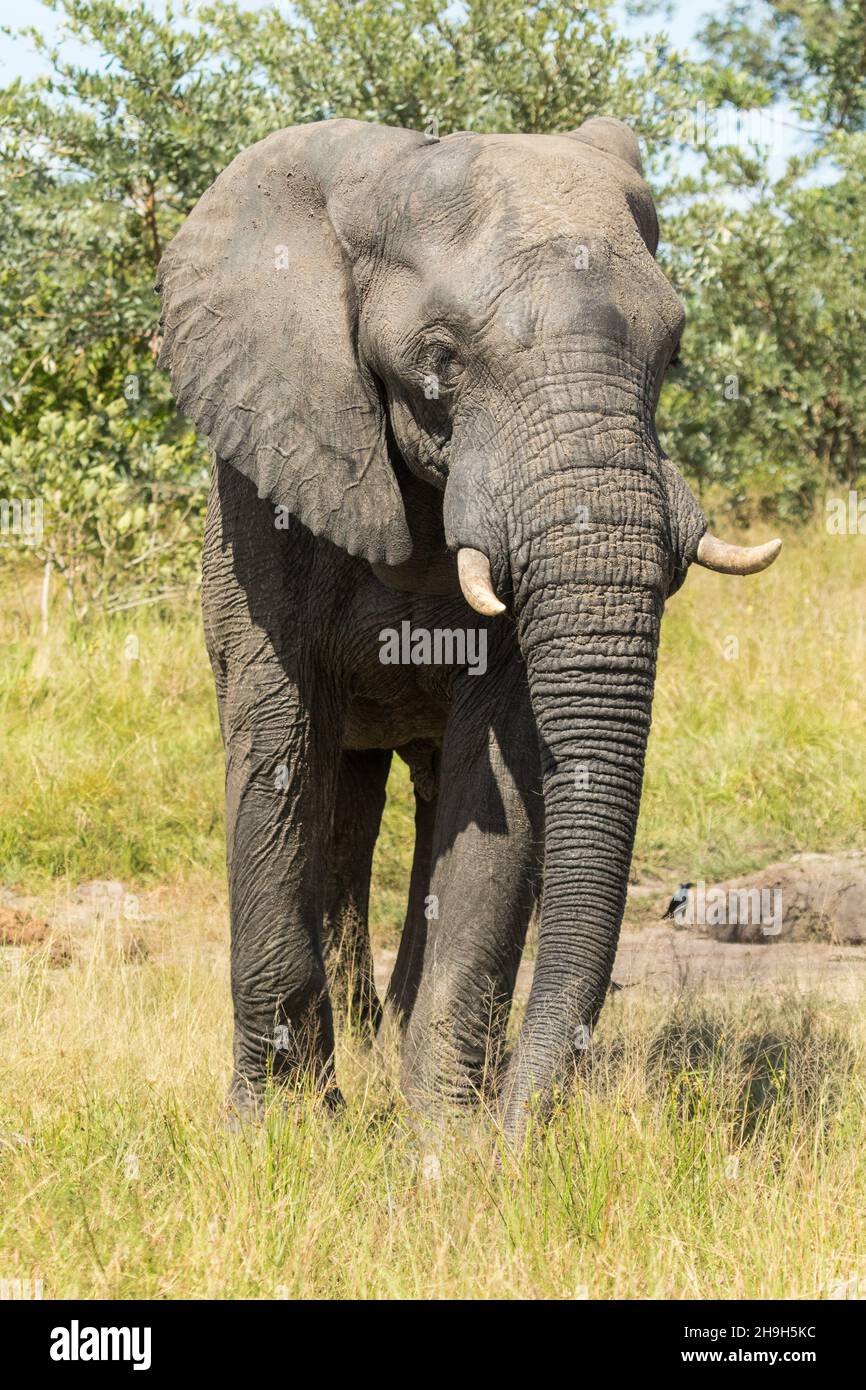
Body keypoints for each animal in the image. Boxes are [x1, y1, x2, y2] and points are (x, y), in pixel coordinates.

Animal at [157, 116, 783, 1139]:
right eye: (440, 359)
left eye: (675, 355)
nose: (527, 1125)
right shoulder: (267, 477)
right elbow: (278, 743)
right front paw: (280, 1134)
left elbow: (500, 762)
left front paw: (450, 1141)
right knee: (342, 791)